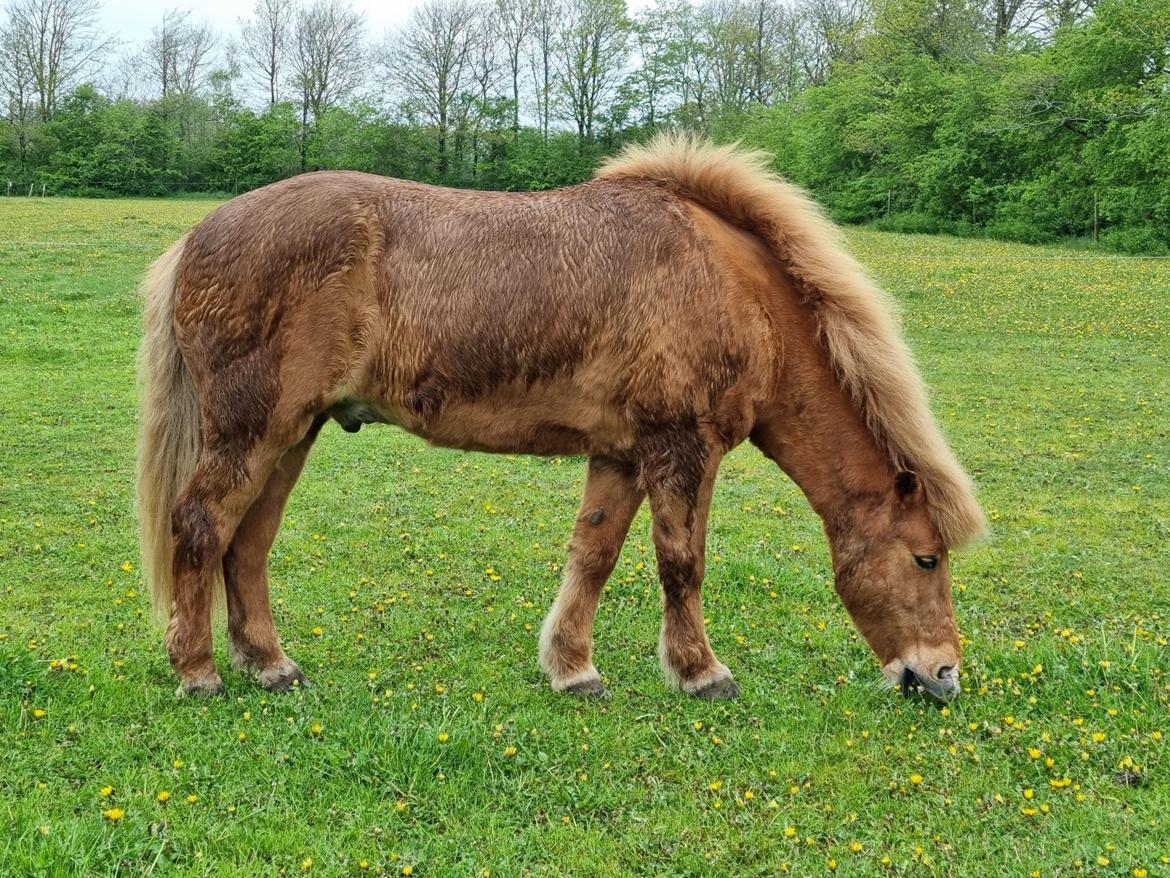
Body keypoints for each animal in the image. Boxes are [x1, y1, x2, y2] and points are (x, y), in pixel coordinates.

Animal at [134, 135, 987, 702]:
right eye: (926, 559)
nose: (942, 674)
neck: (732, 287)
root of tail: (198, 237)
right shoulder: (683, 450)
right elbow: (682, 564)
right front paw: (700, 672)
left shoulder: (623, 454)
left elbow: (594, 555)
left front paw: (572, 668)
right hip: (255, 431)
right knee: (202, 525)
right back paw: (198, 673)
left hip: (293, 432)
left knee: (248, 543)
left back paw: (270, 664)